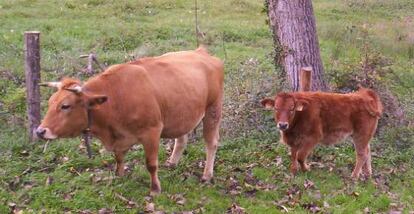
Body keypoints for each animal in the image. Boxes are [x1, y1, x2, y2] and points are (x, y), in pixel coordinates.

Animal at [35, 47, 223, 196]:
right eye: (50, 102)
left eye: (65, 106)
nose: (40, 131)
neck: (116, 97)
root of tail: (201, 51)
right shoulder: (120, 138)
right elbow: (118, 158)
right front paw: (119, 176)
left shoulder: (152, 132)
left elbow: (151, 164)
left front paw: (155, 189)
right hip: (181, 113)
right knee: (182, 138)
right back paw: (172, 163)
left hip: (213, 110)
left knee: (211, 143)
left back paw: (207, 175)